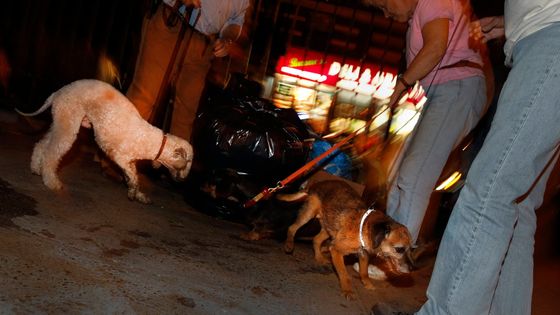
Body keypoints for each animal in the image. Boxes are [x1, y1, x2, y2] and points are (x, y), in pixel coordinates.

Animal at [18, 79, 194, 205]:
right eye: (188, 162)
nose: (183, 180)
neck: (156, 143)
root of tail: (58, 92)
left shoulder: (130, 162)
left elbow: (134, 176)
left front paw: (138, 195)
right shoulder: (119, 156)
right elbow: (134, 177)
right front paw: (133, 192)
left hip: (60, 123)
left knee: (42, 145)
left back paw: (36, 168)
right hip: (68, 124)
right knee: (51, 154)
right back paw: (51, 182)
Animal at [282, 180, 414, 298]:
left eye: (411, 249)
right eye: (399, 249)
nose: (413, 268)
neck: (363, 228)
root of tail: (314, 184)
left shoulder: (363, 255)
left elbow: (364, 272)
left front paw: (367, 284)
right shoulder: (336, 251)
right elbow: (344, 274)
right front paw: (347, 290)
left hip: (329, 228)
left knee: (316, 239)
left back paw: (319, 257)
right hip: (308, 214)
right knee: (292, 228)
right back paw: (289, 245)